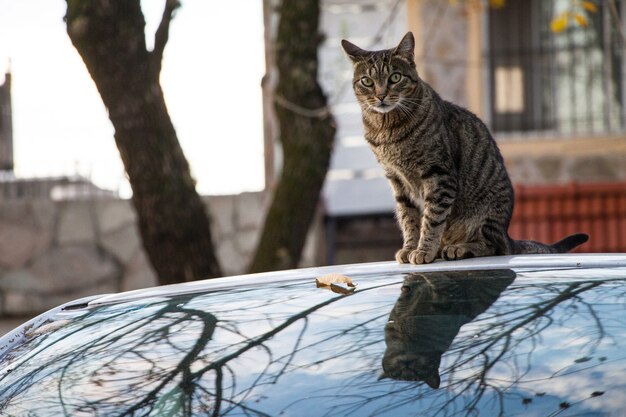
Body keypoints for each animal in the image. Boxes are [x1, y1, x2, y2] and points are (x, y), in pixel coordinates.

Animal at [338, 34, 588, 264]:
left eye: (395, 77)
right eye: (367, 81)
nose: (380, 95)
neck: (386, 129)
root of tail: (507, 235)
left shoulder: (439, 174)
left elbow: (432, 219)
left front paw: (424, 250)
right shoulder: (397, 181)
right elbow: (408, 219)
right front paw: (410, 247)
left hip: (487, 214)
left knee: (492, 246)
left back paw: (459, 248)